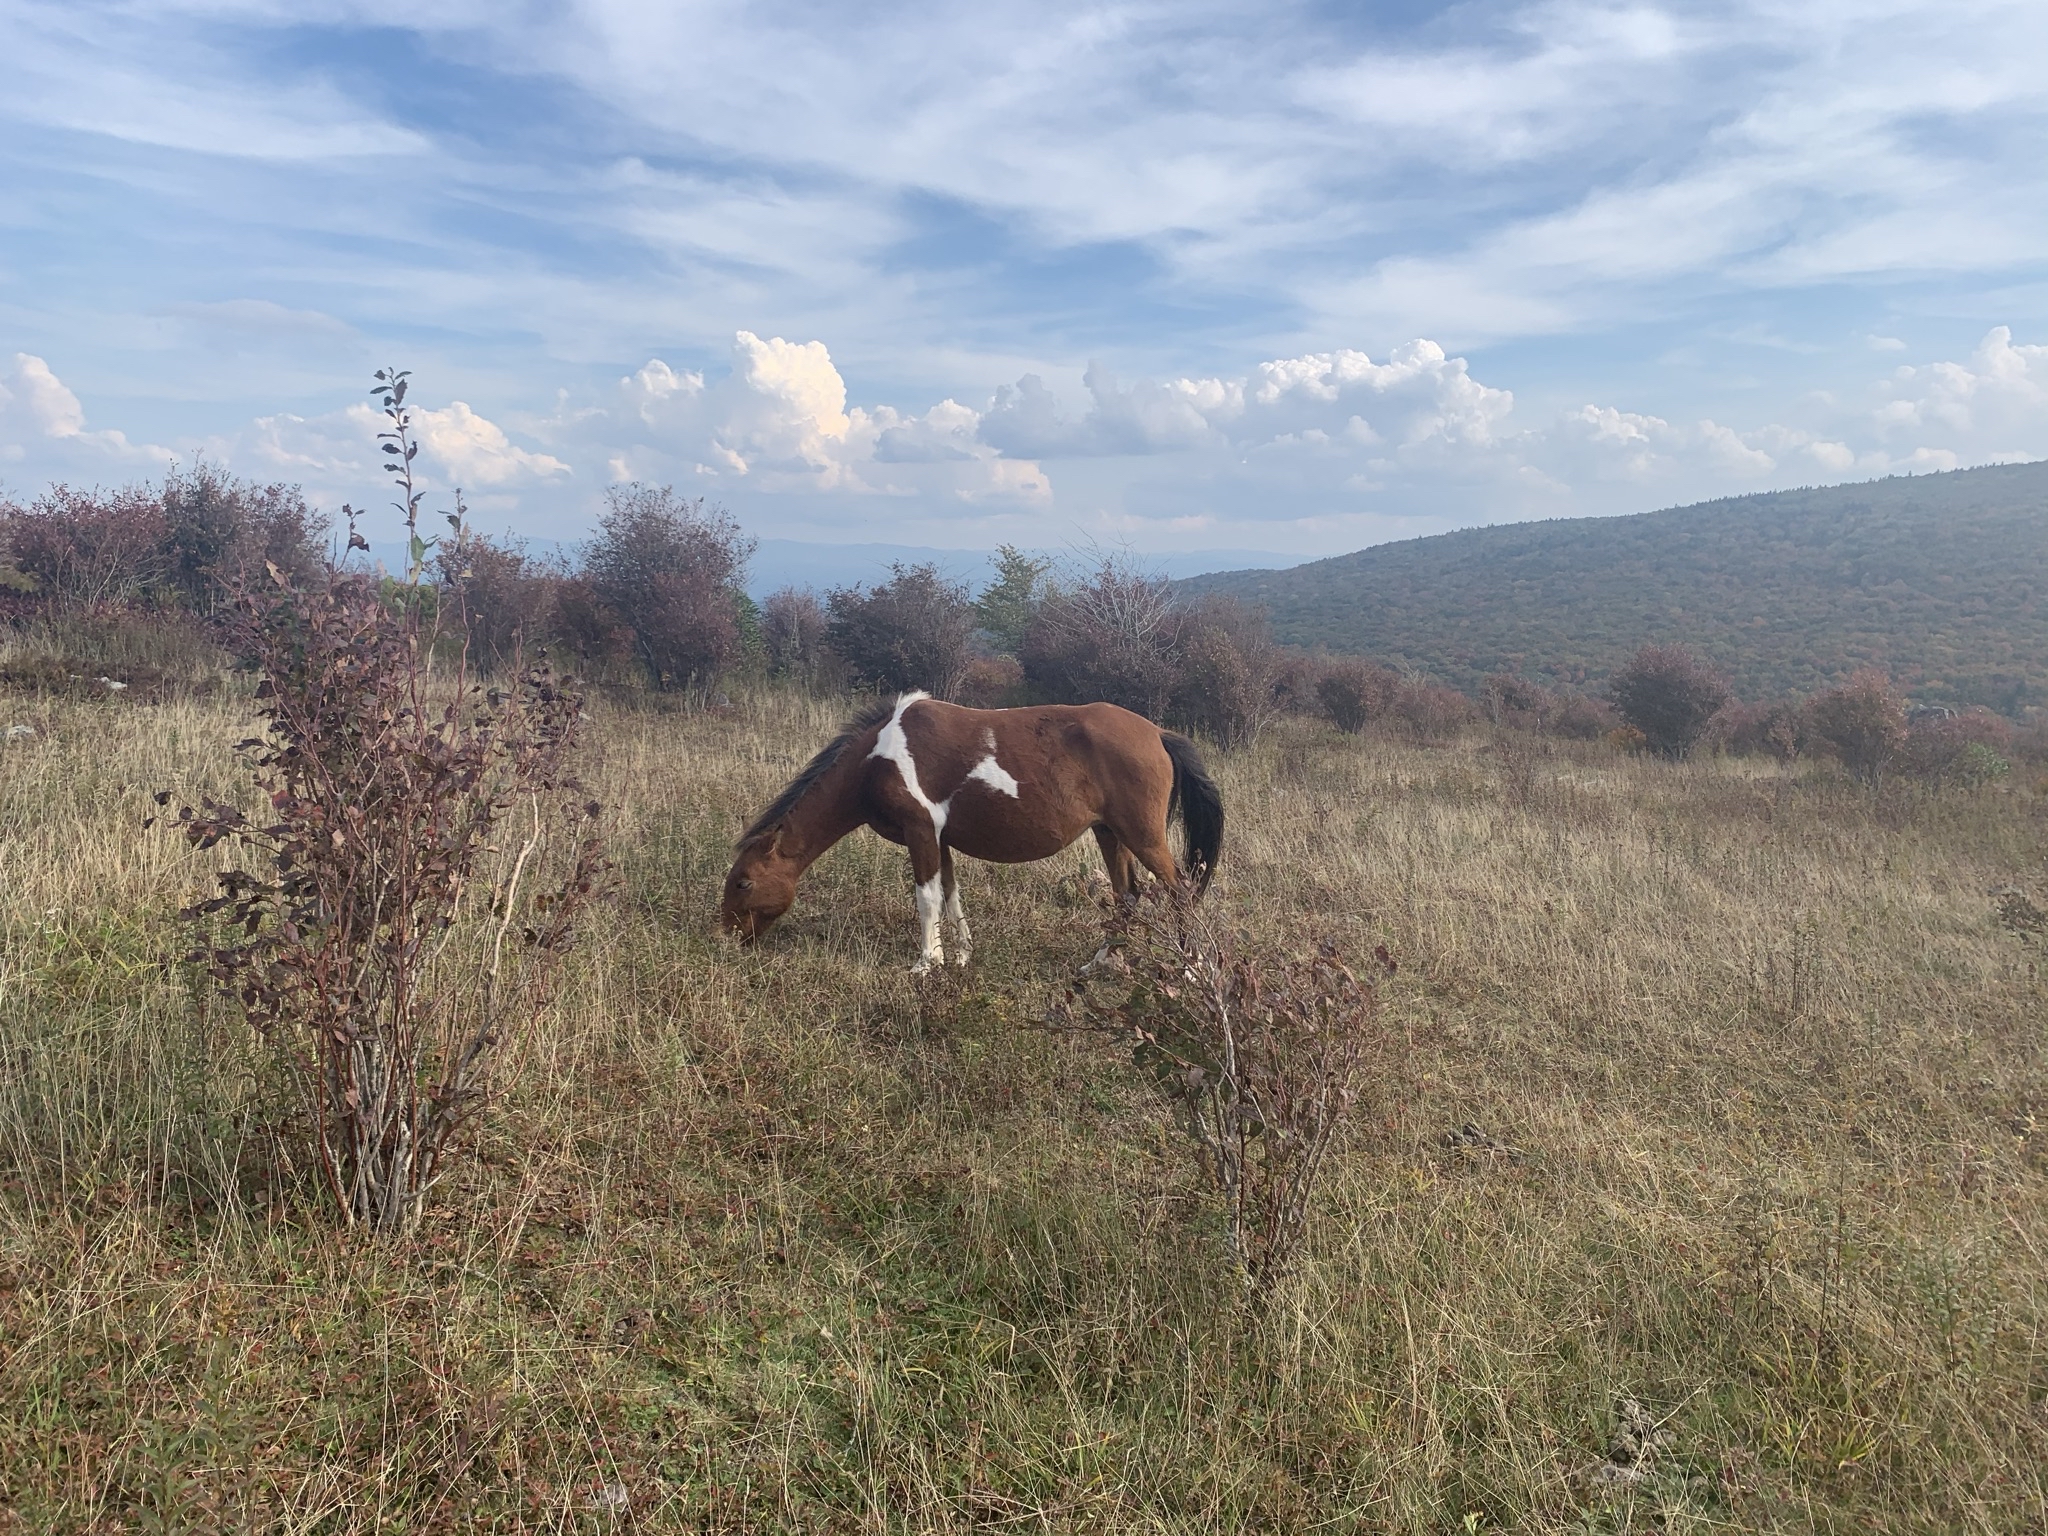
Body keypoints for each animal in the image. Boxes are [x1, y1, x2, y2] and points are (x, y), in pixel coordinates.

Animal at [721, 692, 1224, 972]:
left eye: (743, 882)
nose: (727, 938)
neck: (876, 759)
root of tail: (1158, 734)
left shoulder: (921, 831)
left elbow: (926, 898)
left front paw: (927, 962)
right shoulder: (940, 839)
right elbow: (950, 893)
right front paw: (960, 955)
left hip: (1142, 835)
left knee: (1180, 893)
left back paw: (1191, 970)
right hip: (1109, 832)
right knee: (1127, 895)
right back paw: (1103, 962)